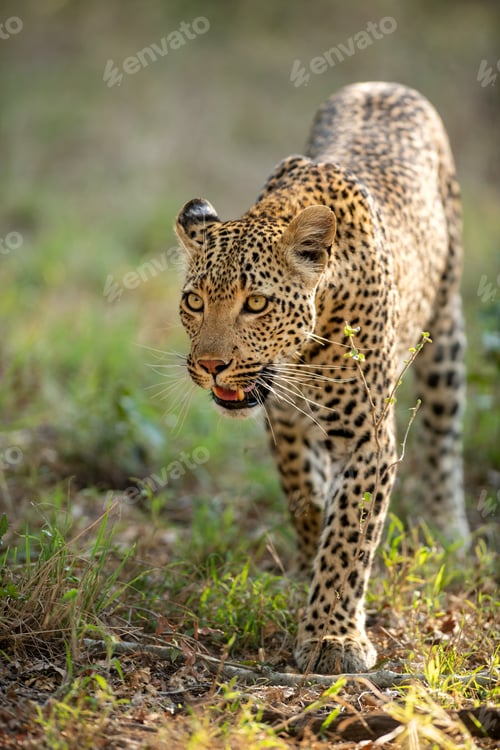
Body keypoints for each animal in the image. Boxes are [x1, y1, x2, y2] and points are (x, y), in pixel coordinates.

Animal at [175, 81, 470, 674]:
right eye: (195, 302)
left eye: (256, 304)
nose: (211, 365)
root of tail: (383, 83)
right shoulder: (283, 420)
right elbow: (307, 497)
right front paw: (310, 561)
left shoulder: (367, 438)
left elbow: (349, 533)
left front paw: (333, 637)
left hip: (445, 324)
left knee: (444, 430)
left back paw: (445, 525)